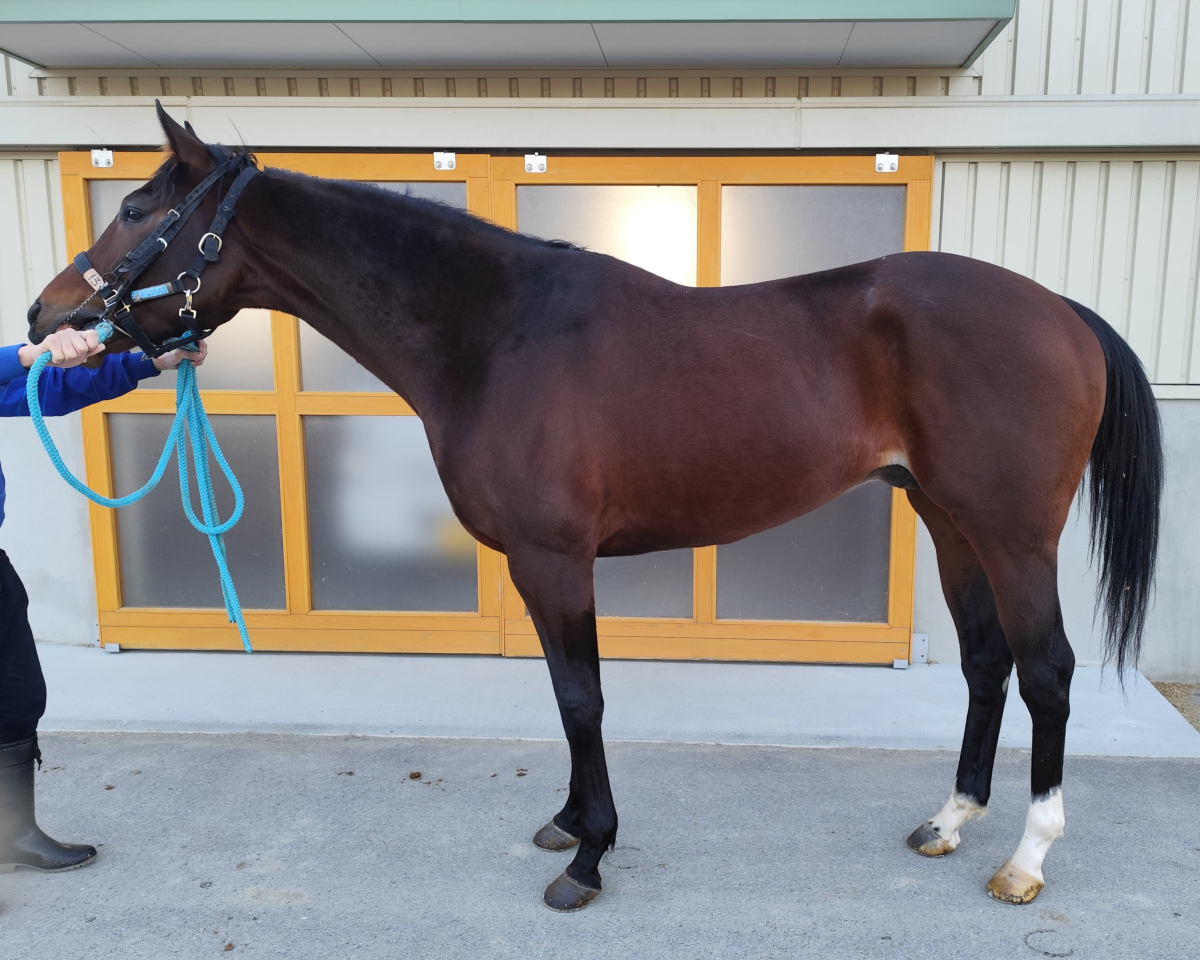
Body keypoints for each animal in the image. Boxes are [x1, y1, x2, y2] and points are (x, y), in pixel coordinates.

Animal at [28, 106, 1162, 911]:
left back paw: (1026, 860)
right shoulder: (538, 565)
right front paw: (572, 823)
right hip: (947, 518)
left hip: (1011, 530)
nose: (44, 316)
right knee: (987, 662)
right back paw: (950, 820)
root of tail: (1061, 310)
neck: (495, 333)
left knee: (1048, 670)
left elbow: (582, 697)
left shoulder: (553, 555)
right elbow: (563, 693)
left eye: (136, 212)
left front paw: (590, 857)